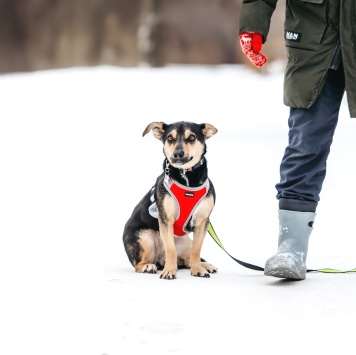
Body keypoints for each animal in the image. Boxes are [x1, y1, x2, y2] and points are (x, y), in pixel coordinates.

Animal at [121, 122, 217, 280]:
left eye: (191, 137)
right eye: (170, 138)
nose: (177, 154)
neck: (187, 179)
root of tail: (159, 259)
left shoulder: (202, 221)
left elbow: (196, 250)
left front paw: (198, 269)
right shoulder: (166, 219)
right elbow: (170, 249)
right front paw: (169, 272)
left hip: (185, 241)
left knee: (187, 259)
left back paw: (204, 265)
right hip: (145, 237)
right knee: (139, 264)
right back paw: (148, 266)